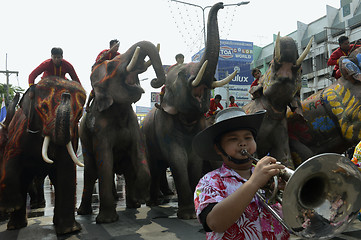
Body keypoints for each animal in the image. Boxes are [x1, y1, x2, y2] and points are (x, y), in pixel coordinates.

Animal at [0, 77, 85, 234]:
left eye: (79, 114)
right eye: (44, 108)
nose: (66, 95)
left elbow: (66, 168)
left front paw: (69, 231)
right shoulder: (19, 133)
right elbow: (11, 157)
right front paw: (9, 207)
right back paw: (15, 226)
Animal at [77, 39, 166, 223]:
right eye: (111, 67)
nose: (155, 81)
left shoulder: (134, 126)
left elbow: (139, 154)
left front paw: (142, 198)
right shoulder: (99, 129)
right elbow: (104, 160)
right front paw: (107, 220)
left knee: (127, 169)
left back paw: (133, 205)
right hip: (84, 138)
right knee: (91, 171)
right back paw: (83, 212)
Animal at [139, 2, 235, 219]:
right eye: (183, 75)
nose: (221, 5)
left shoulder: (199, 125)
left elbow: (195, 158)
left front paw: (193, 212)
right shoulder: (164, 125)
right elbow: (178, 158)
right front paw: (187, 215)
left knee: (159, 167)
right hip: (146, 139)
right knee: (154, 166)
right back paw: (153, 202)